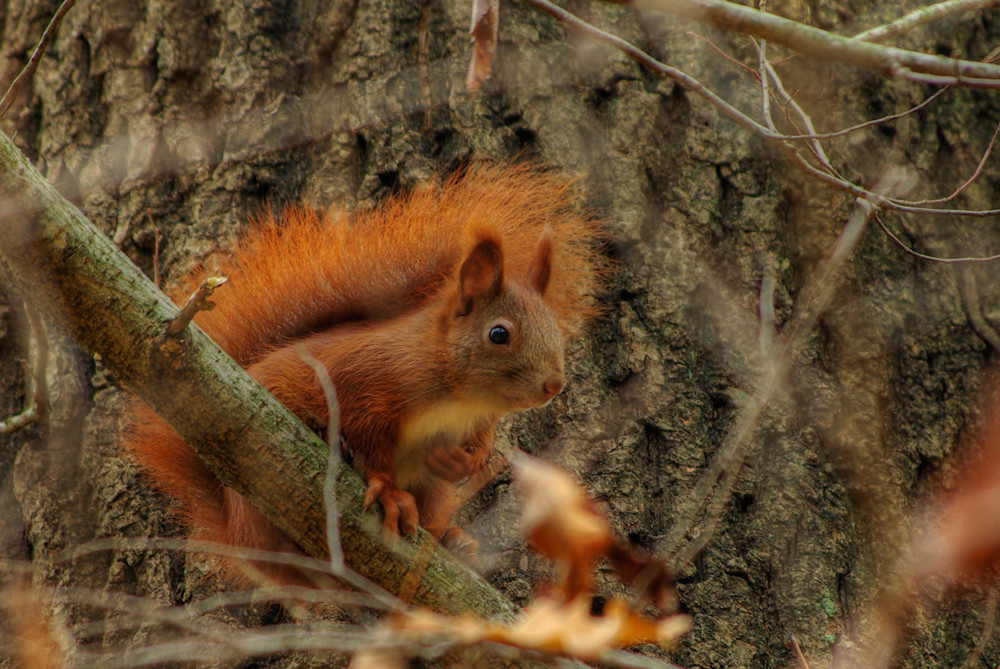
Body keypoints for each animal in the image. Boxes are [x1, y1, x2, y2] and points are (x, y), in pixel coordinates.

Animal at [129, 163, 604, 584]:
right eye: (499, 334)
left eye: (555, 329)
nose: (554, 385)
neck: (459, 396)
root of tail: (237, 533)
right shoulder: (367, 377)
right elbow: (368, 433)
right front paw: (390, 492)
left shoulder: (478, 419)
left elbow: (476, 446)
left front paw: (462, 460)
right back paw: (331, 446)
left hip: (429, 494)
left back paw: (452, 540)